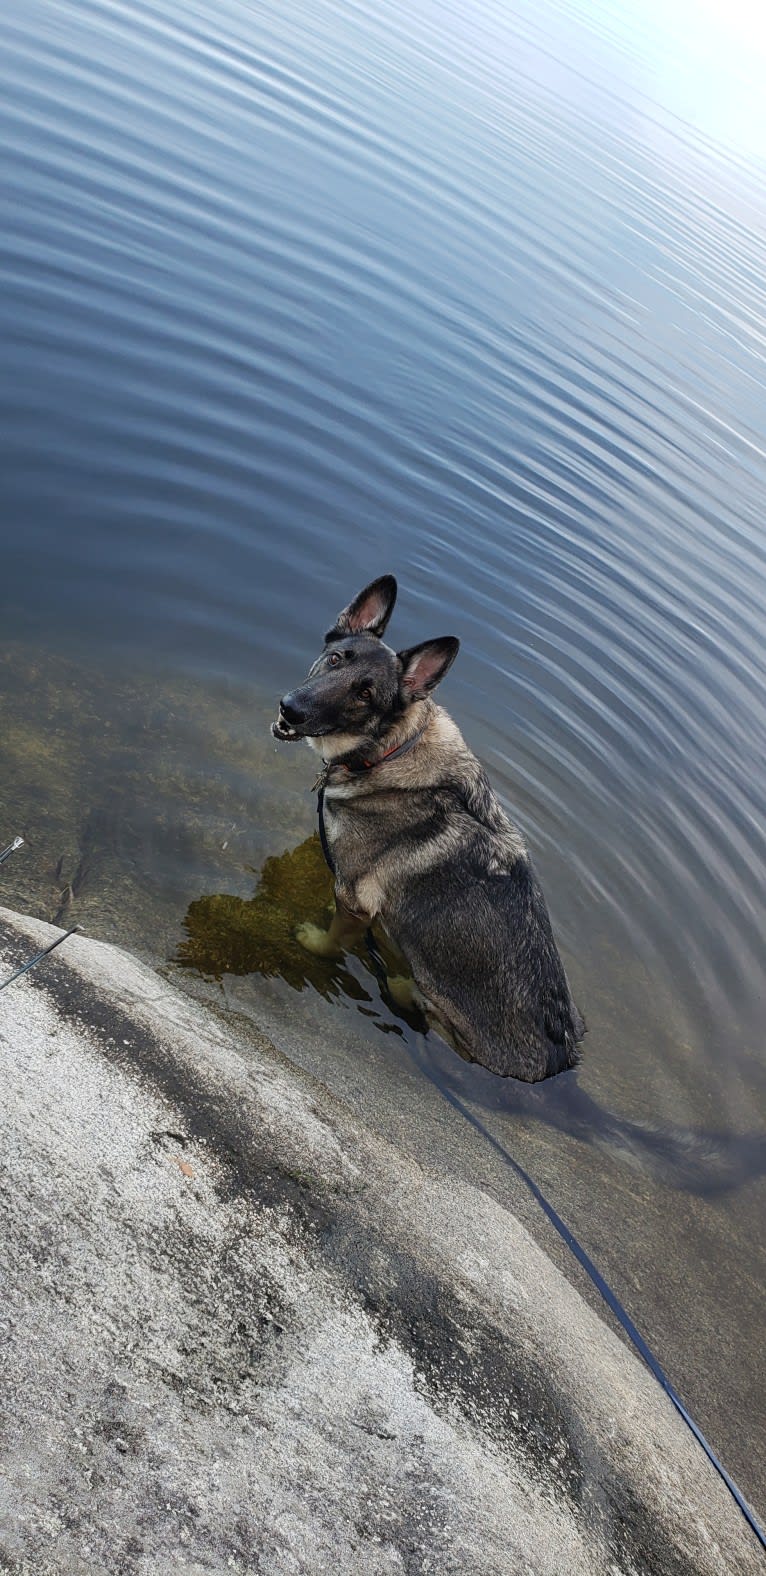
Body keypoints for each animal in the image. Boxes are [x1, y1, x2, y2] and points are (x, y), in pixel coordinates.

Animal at [272, 579, 583, 1084]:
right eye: (336, 659)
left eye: (365, 694)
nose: (291, 709)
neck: (390, 750)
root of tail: (557, 1068)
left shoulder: (355, 899)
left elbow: (333, 942)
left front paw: (314, 943)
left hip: (435, 1004)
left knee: (413, 998)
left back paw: (398, 985)